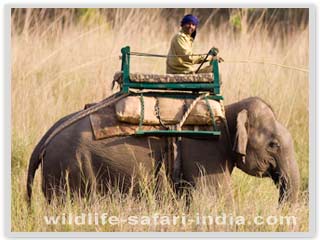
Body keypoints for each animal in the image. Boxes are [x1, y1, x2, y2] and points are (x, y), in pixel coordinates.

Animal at [26, 96, 298, 205]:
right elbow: (214, 199)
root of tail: (45, 139)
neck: (227, 110)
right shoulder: (203, 153)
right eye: (273, 145)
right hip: (69, 169)